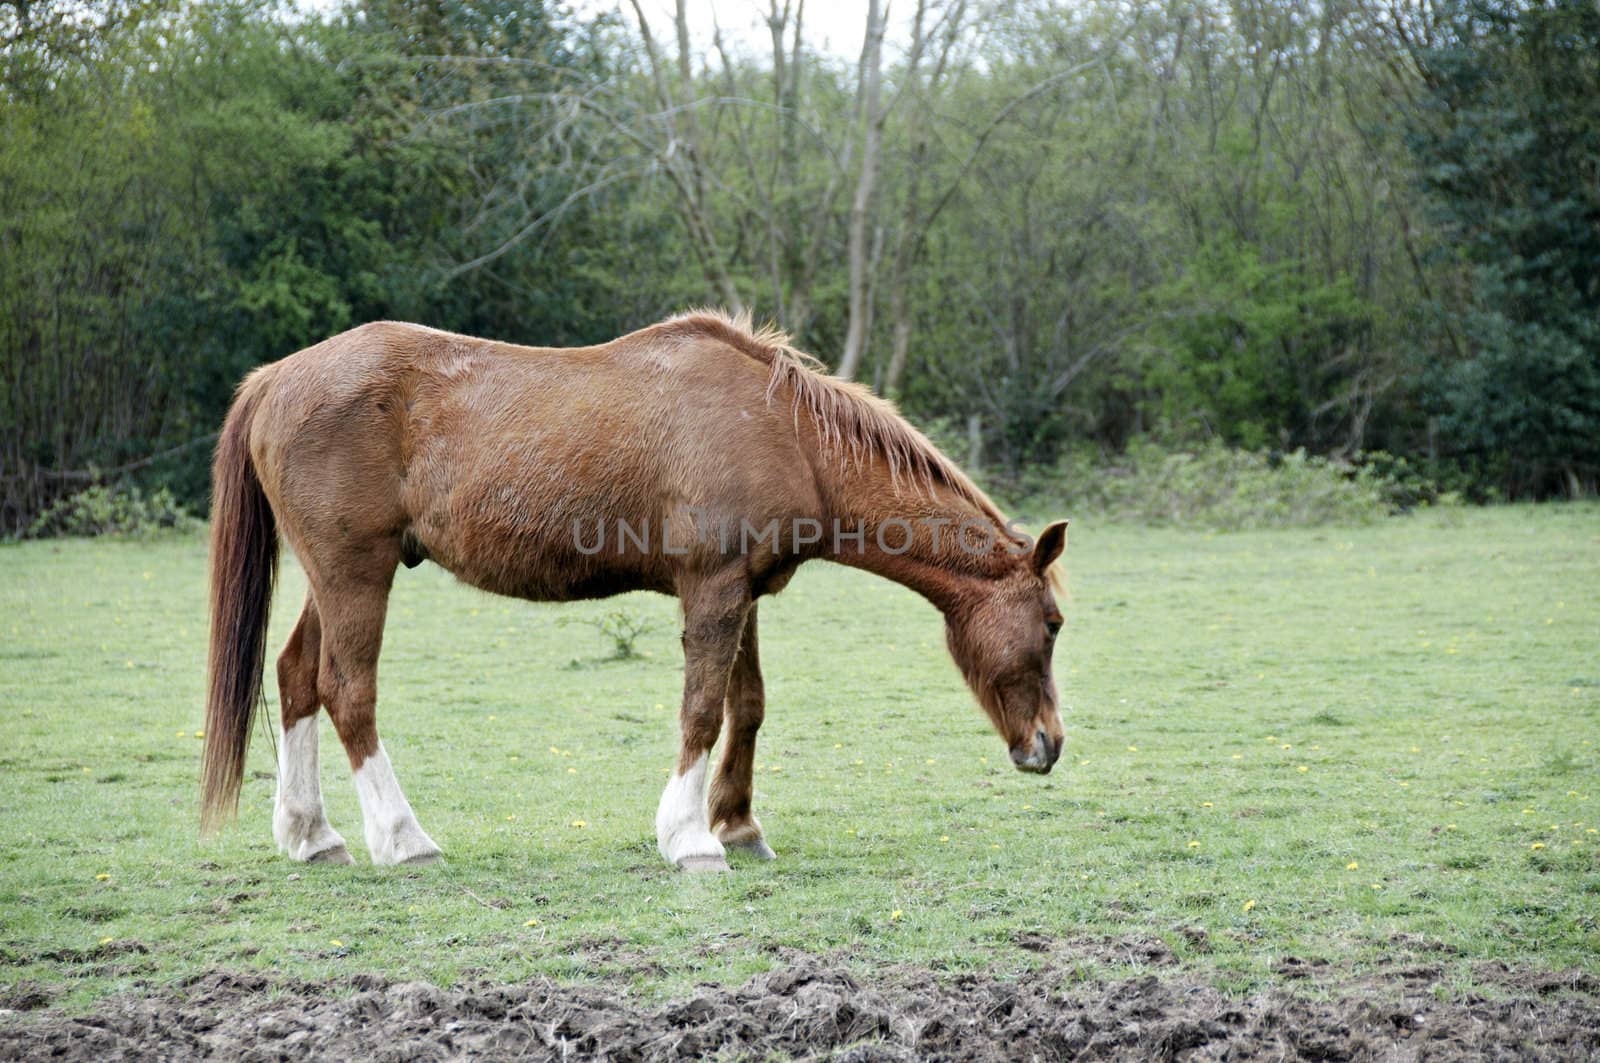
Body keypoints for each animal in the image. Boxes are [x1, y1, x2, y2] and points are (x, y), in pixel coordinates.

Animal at [206, 308, 1068, 870]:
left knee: (296, 677)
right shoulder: (712, 589)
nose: (1049, 745)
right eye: (1054, 622)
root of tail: (277, 378)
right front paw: (690, 838)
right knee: (348, 691)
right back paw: (403, 840)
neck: (783, 431)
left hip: (335, 575)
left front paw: (739, 825)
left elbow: (747, 706)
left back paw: (312, 834)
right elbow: (702, 709)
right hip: (357, 571)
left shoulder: (745, 591)